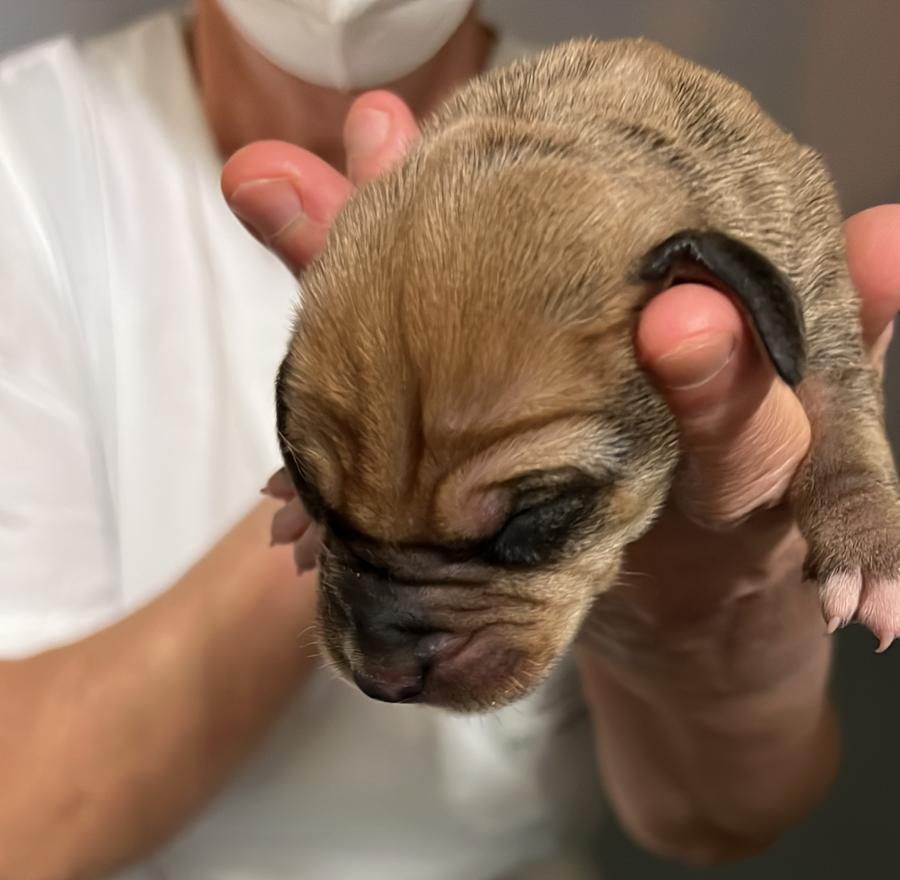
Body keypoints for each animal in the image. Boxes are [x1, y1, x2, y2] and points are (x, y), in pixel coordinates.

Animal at [274, 41, 900, 712]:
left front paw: (867, 550)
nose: (381, 682)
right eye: (315, 496)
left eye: (535, 514)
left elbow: (840, 414)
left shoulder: (811, 284)